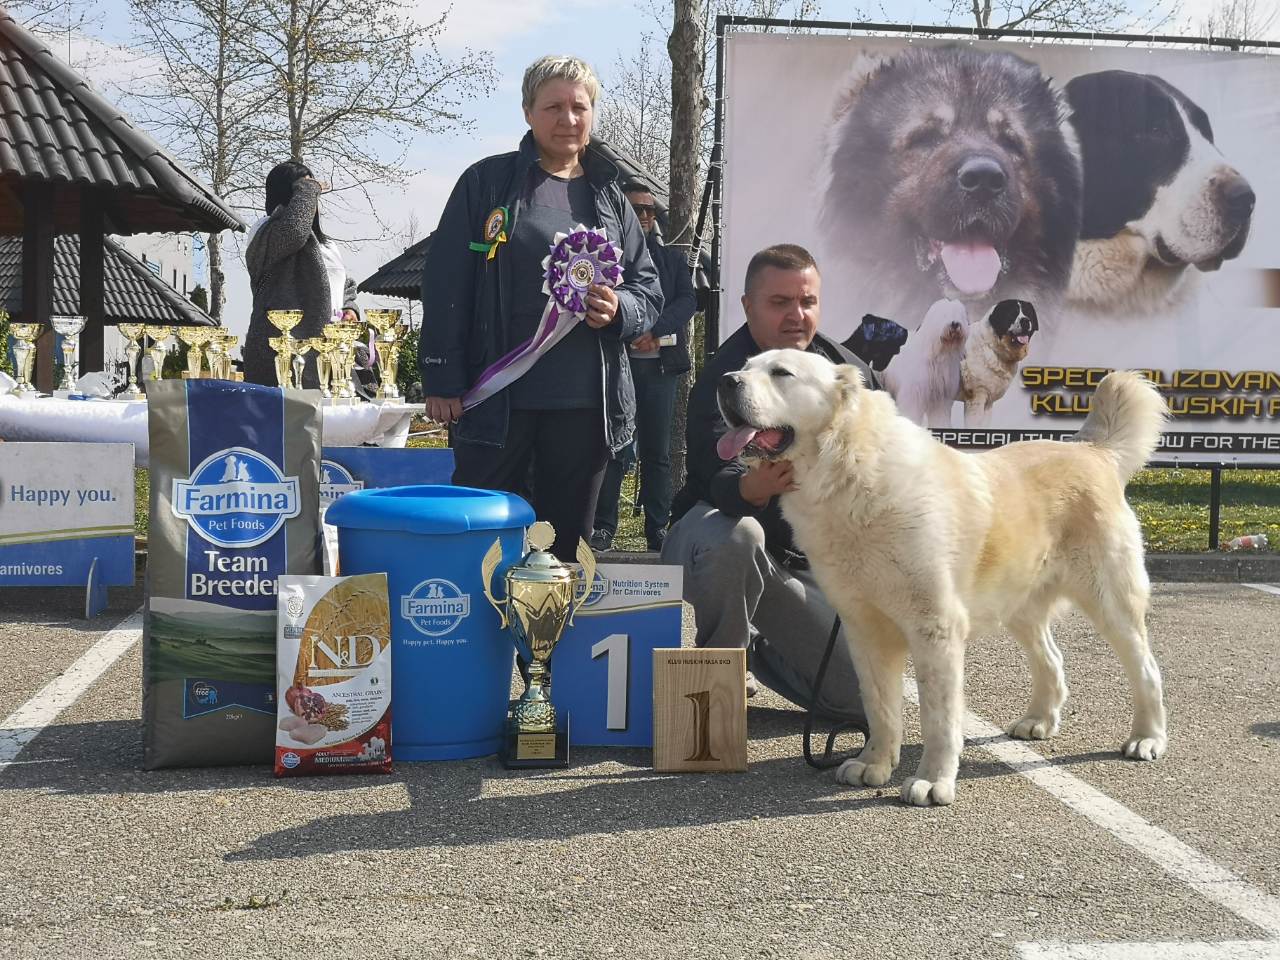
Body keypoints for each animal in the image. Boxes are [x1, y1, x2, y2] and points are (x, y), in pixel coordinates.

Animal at [716, 351, 1169, 807]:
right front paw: (874, 763)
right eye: (747, 365)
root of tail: (1092, 451)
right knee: (1052, 659)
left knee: (1147, 670)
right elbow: (880, 706)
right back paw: (1038, 721)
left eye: (781, 373)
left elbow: (939, 717)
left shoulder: (934, 628)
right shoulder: (865, 630)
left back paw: (1147, 738)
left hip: (1110, 602)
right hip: (1019, 605)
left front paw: (933, 780)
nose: (725, 380)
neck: (849, 473)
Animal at [880, 299, 968, 427]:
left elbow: (940, 417)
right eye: (944, 315)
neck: (938, 353)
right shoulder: (913, 394)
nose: (955, 324)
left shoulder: (941, 399)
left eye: (958, 315)